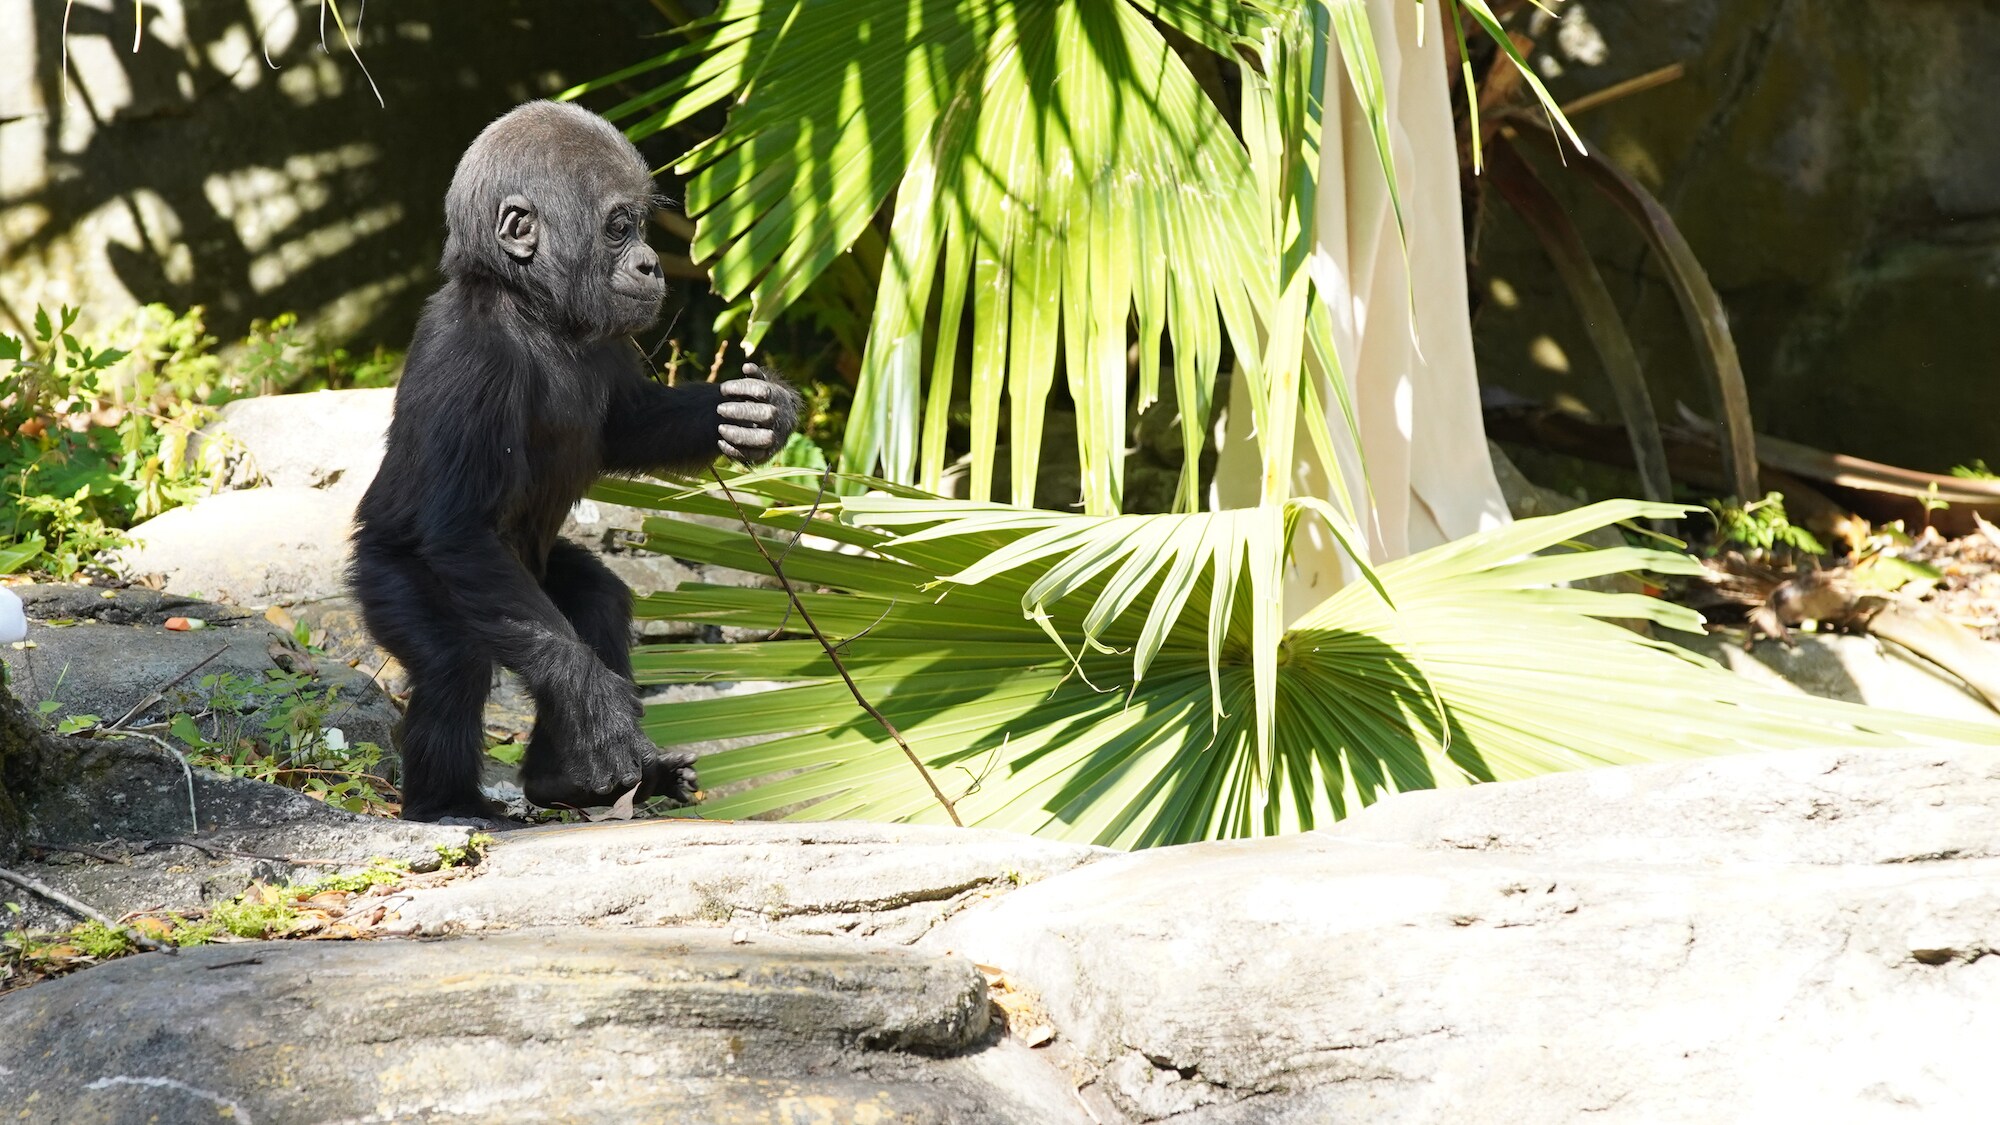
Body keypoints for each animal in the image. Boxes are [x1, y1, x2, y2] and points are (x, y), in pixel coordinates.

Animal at [352, 103, 796, 824]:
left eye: (641, 226)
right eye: (619, 227)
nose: (651, 264)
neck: (531, 307)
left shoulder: (608, 337)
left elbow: (627, 427)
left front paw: (757, 413)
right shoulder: (473, 363)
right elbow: (458, 531)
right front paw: (595, 704)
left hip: (539, 568)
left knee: (597, 598)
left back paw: (566, 777)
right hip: (384, 576)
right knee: (453, 662)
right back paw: (447, 803)